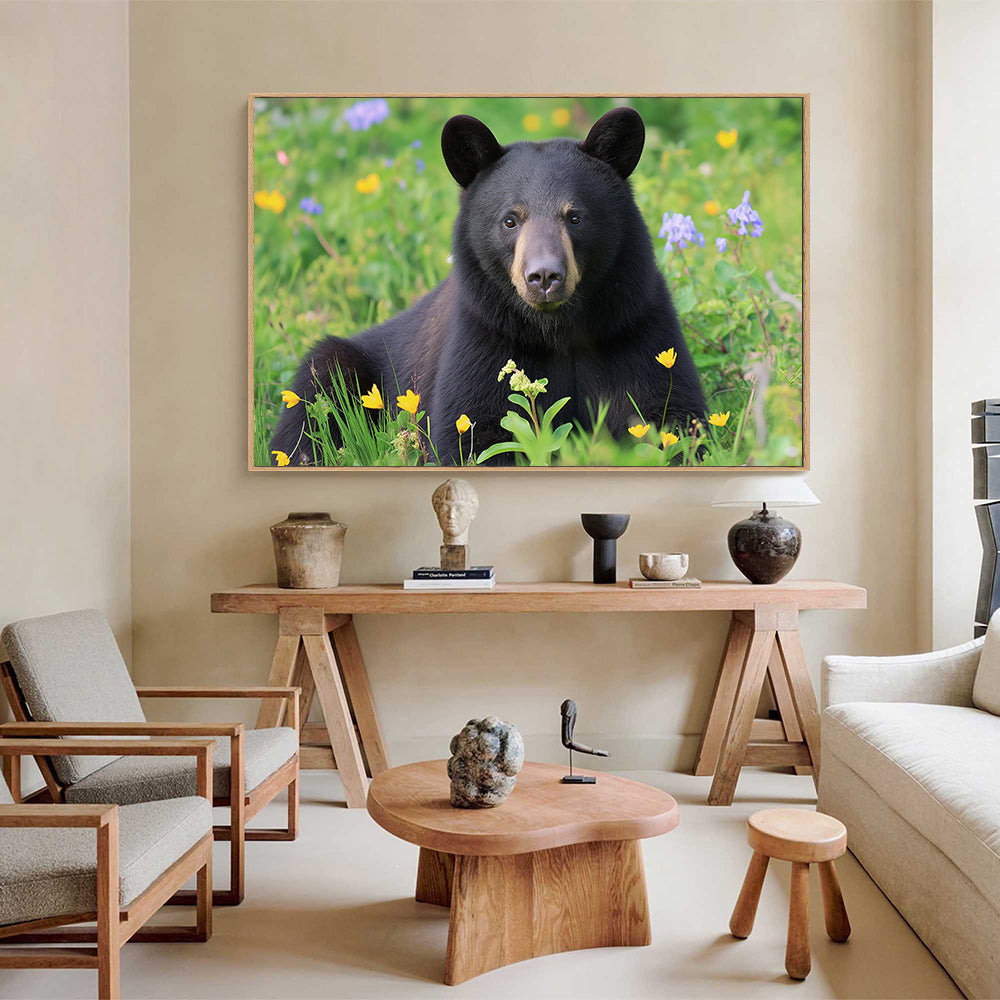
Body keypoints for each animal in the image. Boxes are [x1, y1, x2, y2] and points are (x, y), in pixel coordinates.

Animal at [269, 107, 706, 466]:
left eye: (575, 217)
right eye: (510, 219)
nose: (544, 277)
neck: (557, 331)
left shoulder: (633, 326)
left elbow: (668, 416)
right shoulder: (484, 336)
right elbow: (471, 432)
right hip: (335, 368)